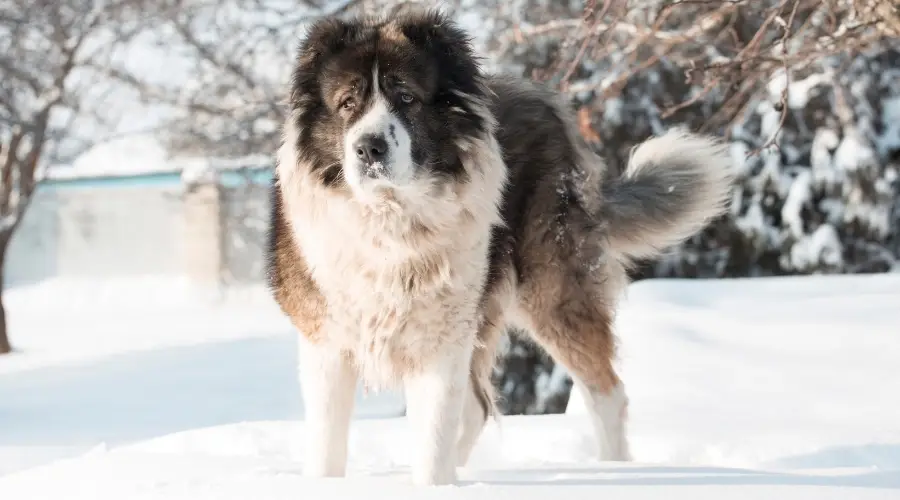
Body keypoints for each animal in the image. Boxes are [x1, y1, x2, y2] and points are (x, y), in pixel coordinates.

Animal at [264, 6, 736, 484]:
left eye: (407, 98)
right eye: (347, 103)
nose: (368, 148)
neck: (390, 223)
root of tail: (547, 104)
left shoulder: (443, 336)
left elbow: (434, 436)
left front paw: (435, 486)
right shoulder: (327, 340)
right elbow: (328, 444)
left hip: (553, 292)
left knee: (605, 392)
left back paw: (616, 473)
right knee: (477, 407)